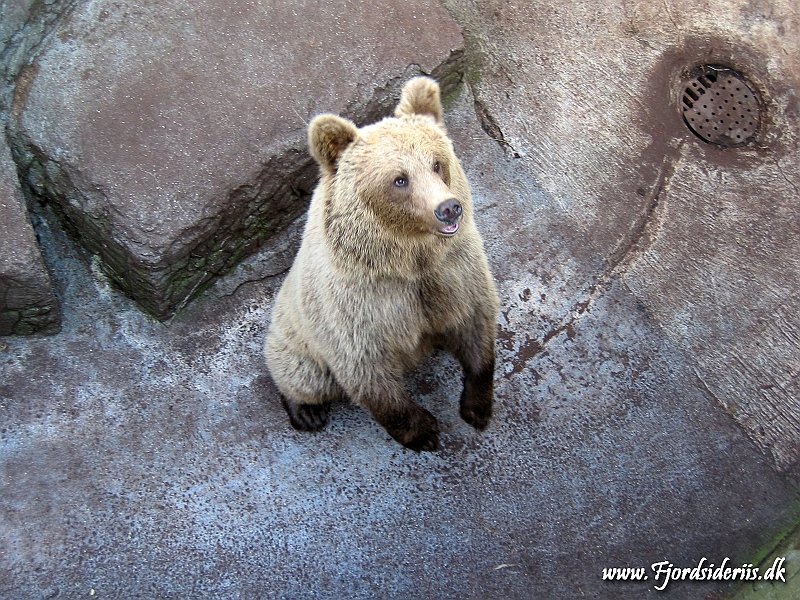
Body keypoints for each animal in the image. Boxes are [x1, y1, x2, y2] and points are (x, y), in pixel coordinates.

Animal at [266, 76, 496, 450]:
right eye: (399, 179)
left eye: (436, 163)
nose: (448, 208)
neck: (407, 260)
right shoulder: (360, 306)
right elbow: (369, 374)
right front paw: (424, 433)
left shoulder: (453, 272)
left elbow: (476, 323)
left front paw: (477, 408)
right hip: (296, 337)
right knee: (304, 377)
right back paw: (306, 412)